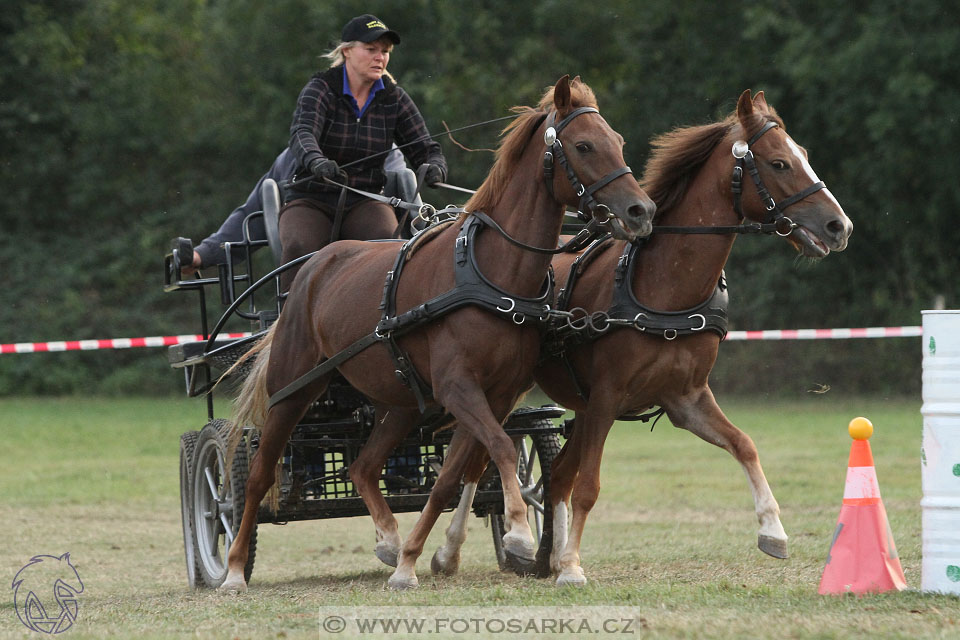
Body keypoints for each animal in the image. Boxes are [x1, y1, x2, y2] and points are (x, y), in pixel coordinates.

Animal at [218, 76, 656, 596]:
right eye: (584, 145)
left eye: (618, 142)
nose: (641, 210)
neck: (494, 273)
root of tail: (311, 267)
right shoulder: (457, 386)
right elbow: (501, 448)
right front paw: (520, 533)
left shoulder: (498, 394)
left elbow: (455, 473)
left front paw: (419, 560)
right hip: (292, 391)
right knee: (258, 476)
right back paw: (232, 570)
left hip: (400, 404)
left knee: (363, 465)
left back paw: (388, 541)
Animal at [424, 89, 852, 584]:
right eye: (780, 163)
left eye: (803, 155)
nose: (839, 226)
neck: (663, 289)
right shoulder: (608, 398)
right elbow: (589, 486)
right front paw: (572, 565)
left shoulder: (686, 398)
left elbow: (744, 444)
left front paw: (773, 531)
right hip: (507, 391)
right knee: (482, 461)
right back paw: (460, 550)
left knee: (547, 472)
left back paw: (540, 553)